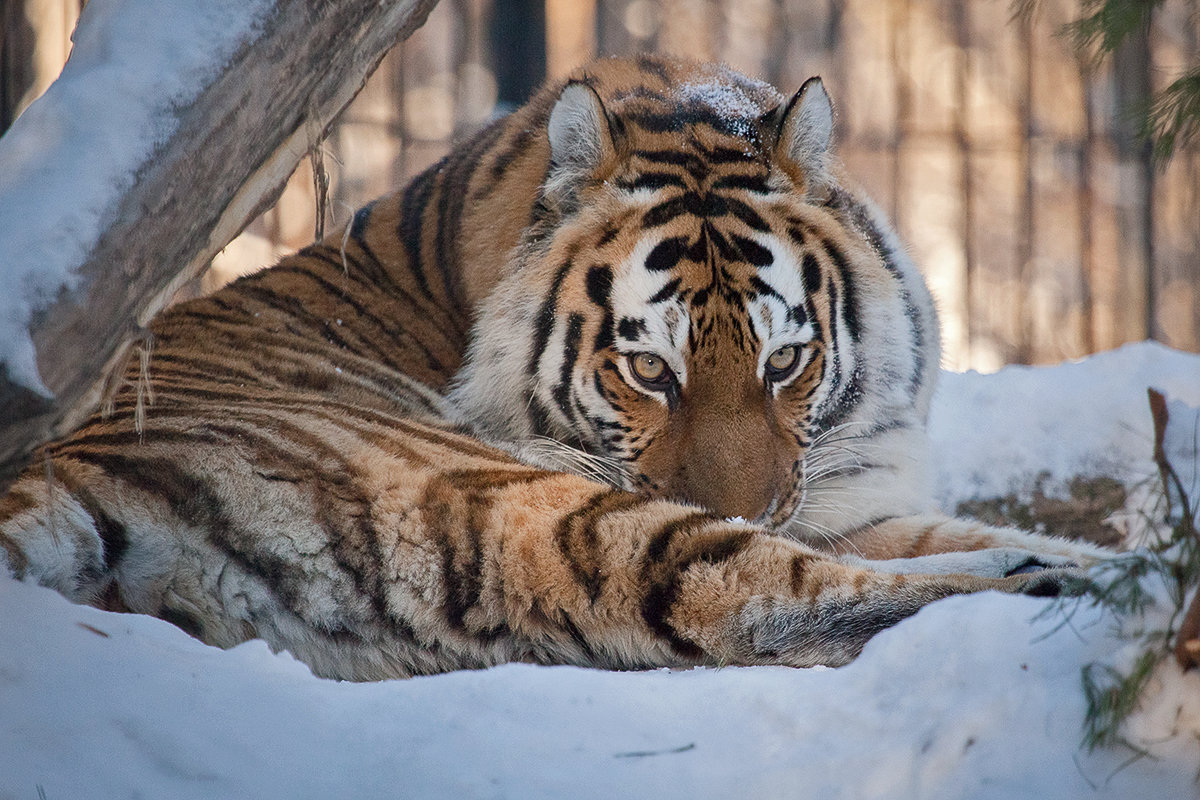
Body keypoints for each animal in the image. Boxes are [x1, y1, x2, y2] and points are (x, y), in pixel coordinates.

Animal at [0, 57, 1104, 681]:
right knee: (760, 592)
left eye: (786, 360)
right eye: (649, 372)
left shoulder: (844, 491)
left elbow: (955, 527)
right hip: (514, 498)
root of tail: (55, 476)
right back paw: (1079, 591)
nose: (746, 505)